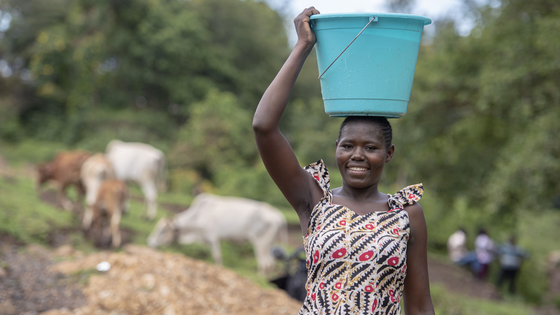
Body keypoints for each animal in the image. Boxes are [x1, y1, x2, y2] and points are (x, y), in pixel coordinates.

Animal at [147, 194, 288, 278]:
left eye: (162, 231)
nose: (150, 242)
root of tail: (278, 216)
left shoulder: (213, 238)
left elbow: (217, 258)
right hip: (268, 244)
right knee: (270, 262)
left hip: (260, 243)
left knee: (265, 262)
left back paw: (261, 277)